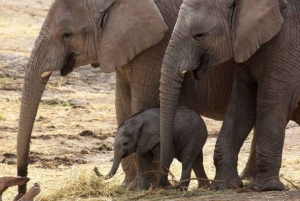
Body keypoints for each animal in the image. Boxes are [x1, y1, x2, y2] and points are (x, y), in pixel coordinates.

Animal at [161, 0, 300, 192]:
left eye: (199, 36)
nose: (170, 184)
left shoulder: (288, 43)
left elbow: (270, 101)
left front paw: (265, 187)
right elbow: (241, 104)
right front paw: (224, 185)